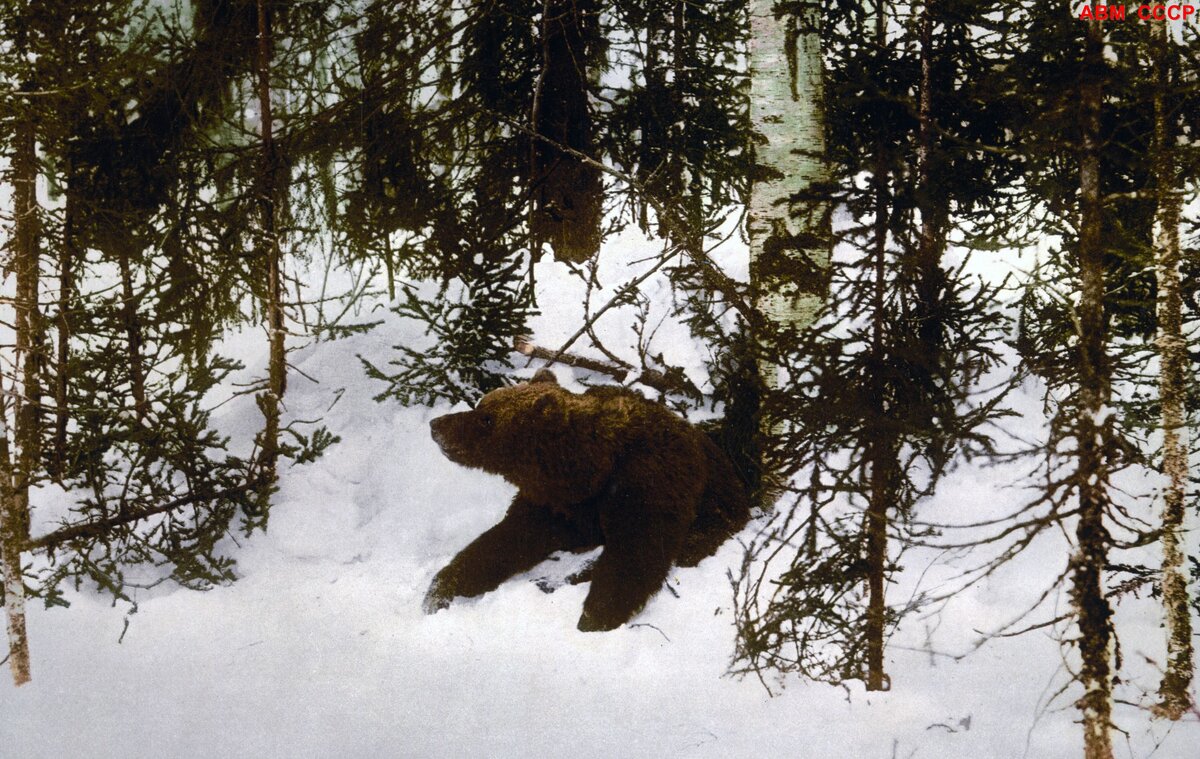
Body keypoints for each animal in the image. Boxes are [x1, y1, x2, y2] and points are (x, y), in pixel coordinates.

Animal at [424, 369, 748, 629]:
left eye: (487, 417)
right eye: (483, 405)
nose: (436, 424)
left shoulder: (647, 480)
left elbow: (637, 551)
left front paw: (594, 617)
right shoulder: (553, 504)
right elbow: (504, 541)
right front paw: (440, 590)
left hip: (717, 511)